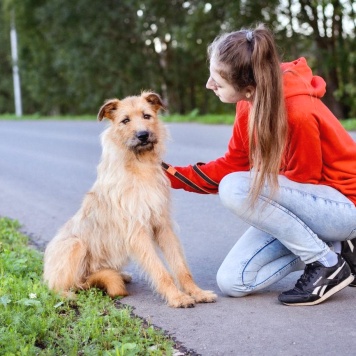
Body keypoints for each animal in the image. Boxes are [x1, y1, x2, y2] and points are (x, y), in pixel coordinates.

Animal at [44, 93, 217, 308]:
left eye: (147, 116)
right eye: (125, 120)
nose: (143, 135)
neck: (141, 166)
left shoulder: (163, 225)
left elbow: (180, 267)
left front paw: (197, 292)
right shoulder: (137, 231)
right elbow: (160, 271)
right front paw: (177, 297)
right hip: (74, 245)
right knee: (58, 286)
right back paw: (70, 295)